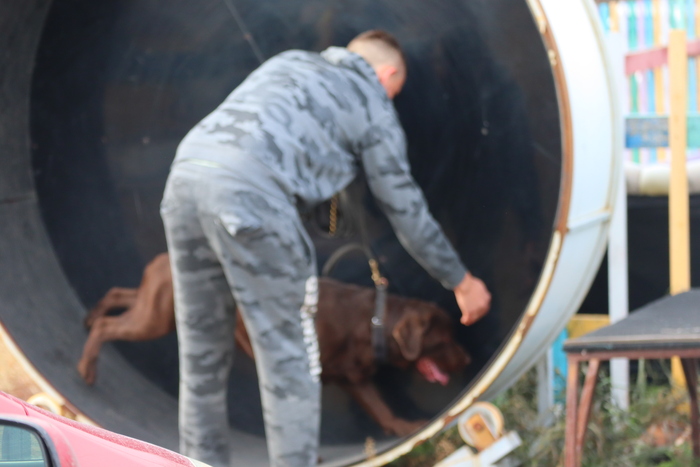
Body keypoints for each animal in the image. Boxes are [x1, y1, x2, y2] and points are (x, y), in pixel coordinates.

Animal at [78, 252, 471, 436]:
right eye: (444, 341)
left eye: (454, 337)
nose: (466, 359)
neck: (376, 321)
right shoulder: (345, 377)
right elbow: (378, 407)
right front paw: (407, 427)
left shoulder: (350, 377)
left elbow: (379, 407)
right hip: (156, 318)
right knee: (110, 326)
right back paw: (87, 367)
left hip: (155, 305)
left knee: (118, 293)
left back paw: (90, 318)